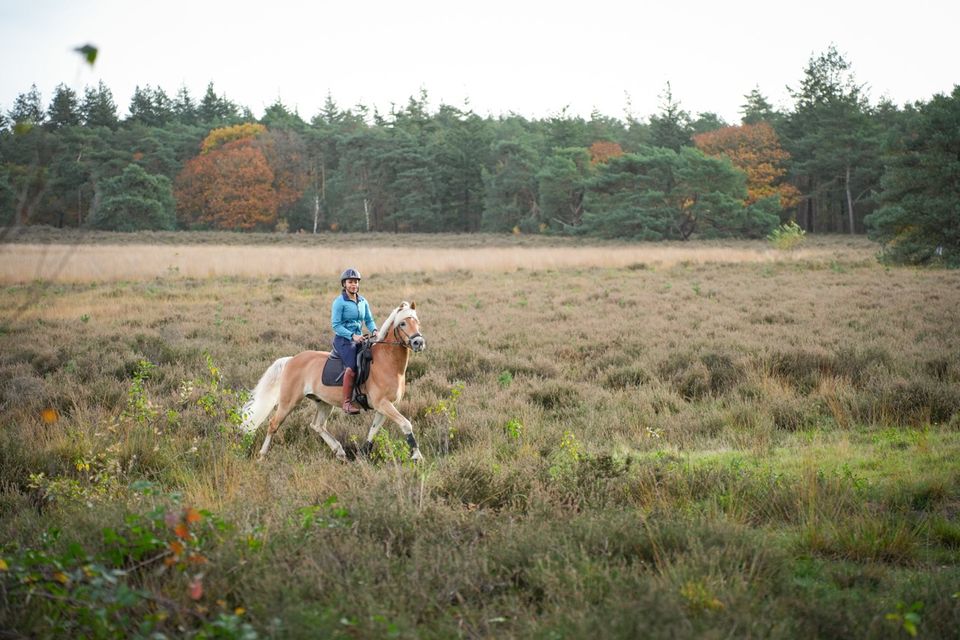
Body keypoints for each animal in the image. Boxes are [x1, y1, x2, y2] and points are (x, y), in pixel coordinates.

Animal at [238, 302, 426, 462]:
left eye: (417, 322)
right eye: (402, 324)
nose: (418, 342)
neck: (385, 362)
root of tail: (291, 360)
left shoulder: (383, 407)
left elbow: (373, 431)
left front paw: (363, 455)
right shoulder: (383, 404)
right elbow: (406, 424)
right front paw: (417, 456)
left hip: (323, 402)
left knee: (317, 425)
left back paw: (339, 451)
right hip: (288, 402)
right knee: (273, 424)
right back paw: (262, 455)